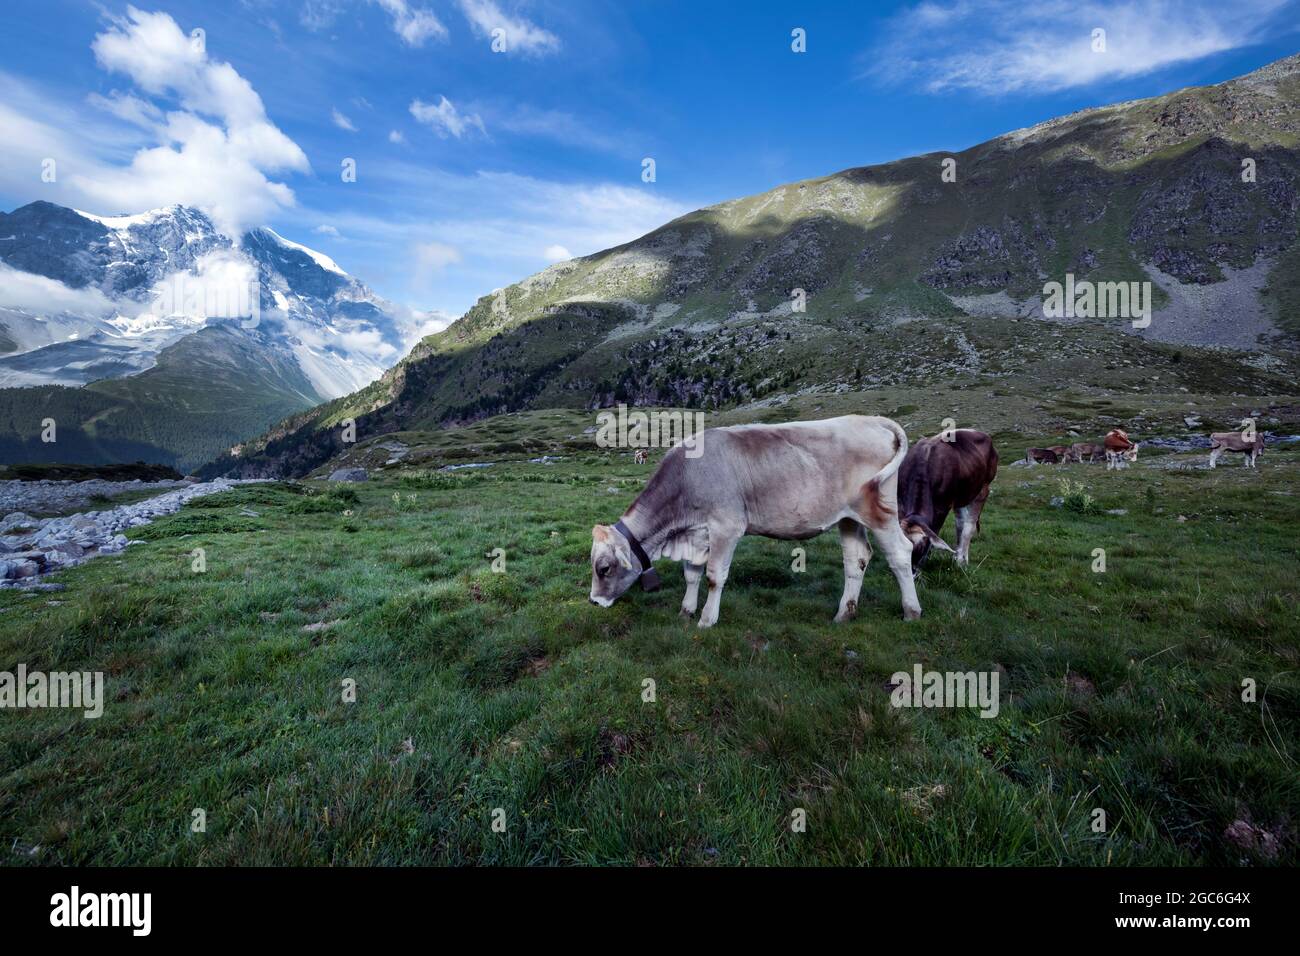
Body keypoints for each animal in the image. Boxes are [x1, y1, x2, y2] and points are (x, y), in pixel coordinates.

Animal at [590, 413, 925, 624]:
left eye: (604, 568)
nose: (594, 602)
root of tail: (872, 420)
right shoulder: (697, 532)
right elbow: (692, 574)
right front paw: (686, 612)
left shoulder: (726, 527)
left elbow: (714, 575)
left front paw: (707, 619)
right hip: (849, 517)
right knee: (856, 559)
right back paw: (844, 614)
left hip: (878, 511)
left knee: (900, 552)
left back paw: (911, 611)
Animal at [899, 431, 998, 572]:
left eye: (921, 547)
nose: (909, 571)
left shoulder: (942, 507)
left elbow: (935, 531)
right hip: (961, 496)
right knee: (960, 523)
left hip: (983, 489)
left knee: (968, 527)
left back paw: (962, 560)